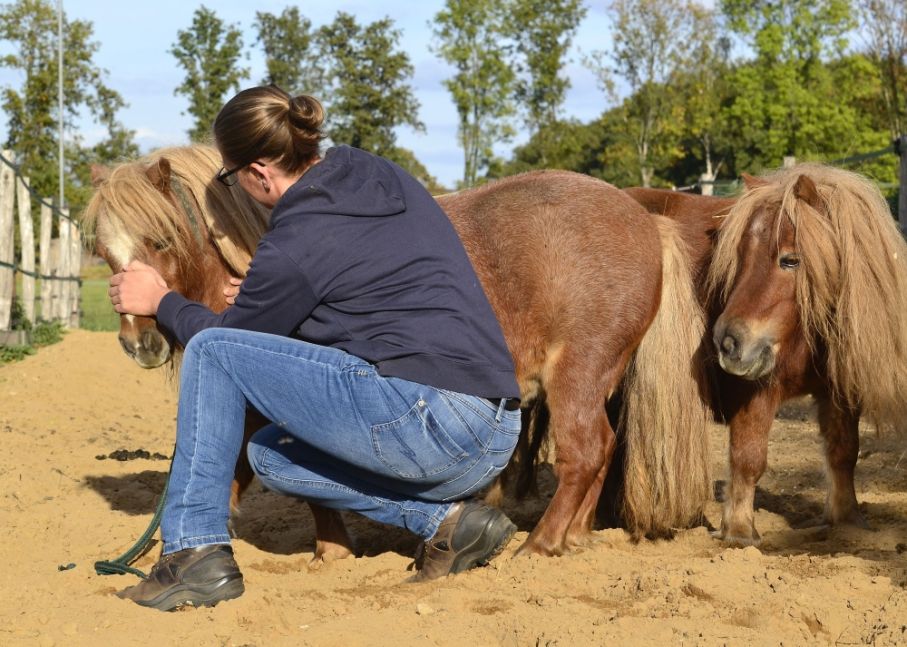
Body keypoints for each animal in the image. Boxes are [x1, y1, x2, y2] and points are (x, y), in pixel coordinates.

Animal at [628, 168, 907, 548]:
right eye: (738, 255)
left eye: (790, 259)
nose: (727, 343)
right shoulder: (755, 393)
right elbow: (748, 459)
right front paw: (739, 531)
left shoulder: (839, 392)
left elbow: (844, 452)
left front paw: (847, 521)